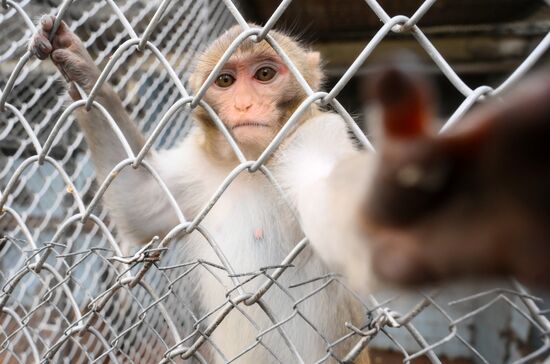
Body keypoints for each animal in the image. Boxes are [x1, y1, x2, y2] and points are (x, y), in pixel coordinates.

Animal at [30, 15, 376, 362]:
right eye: (225, 80)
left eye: (265, 74)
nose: (244, 104)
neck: (250, 164)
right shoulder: (197, 167)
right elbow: (139, 199)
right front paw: (86, 77)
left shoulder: (318, 134)